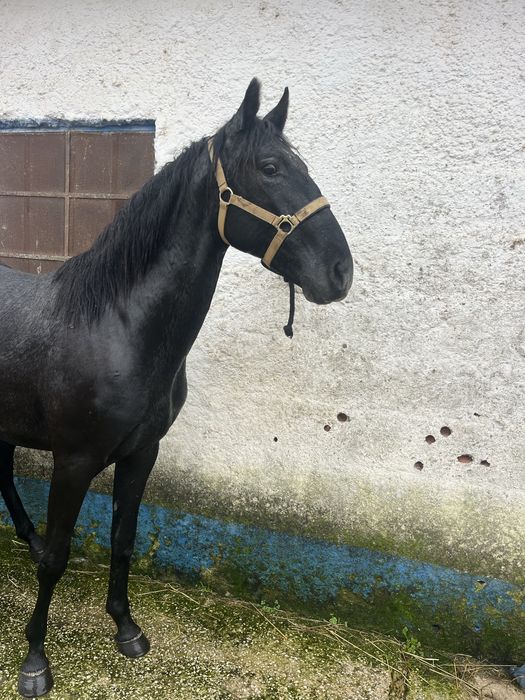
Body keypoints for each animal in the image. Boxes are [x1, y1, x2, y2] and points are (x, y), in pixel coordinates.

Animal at [0, 78, 353, 697]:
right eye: (270, 167)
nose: (340, 271)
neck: (115, 327)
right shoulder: (73, 461)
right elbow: (58, 559)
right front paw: (36, 660)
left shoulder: (142, 452)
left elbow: (123, 538)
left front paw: (126, 629)